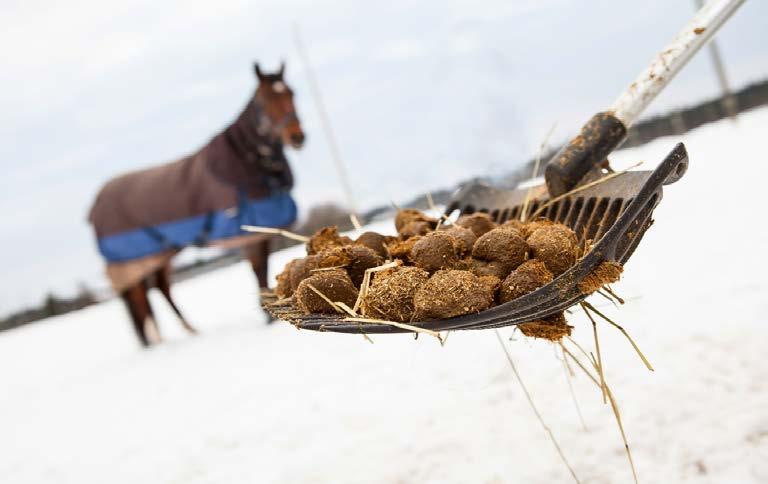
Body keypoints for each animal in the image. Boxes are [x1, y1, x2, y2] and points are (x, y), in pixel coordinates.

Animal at [88, 62, 304, 346]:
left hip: (158, 256)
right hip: (131, 263)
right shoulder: (248, 234)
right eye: (264, 100)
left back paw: (187, 330)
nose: (297, 136)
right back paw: (157, 342)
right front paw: (267, 318)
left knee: (159, 289)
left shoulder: (262, 232)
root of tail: (95, 205)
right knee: (138, 299)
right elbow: (258, 270)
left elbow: (264, 270)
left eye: (291, 93)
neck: (243, 164)